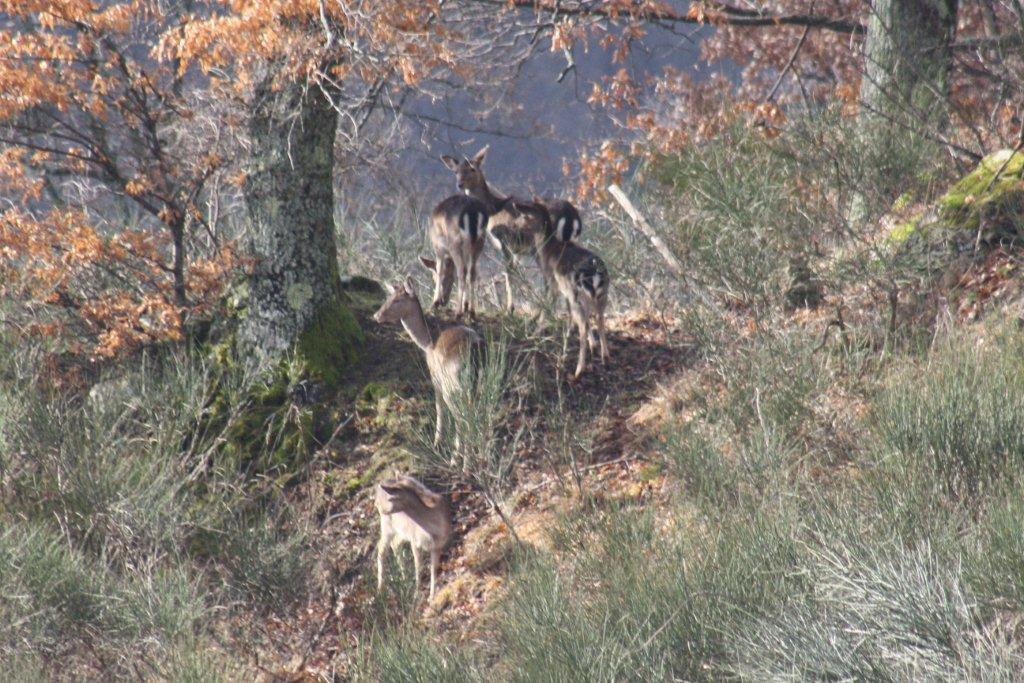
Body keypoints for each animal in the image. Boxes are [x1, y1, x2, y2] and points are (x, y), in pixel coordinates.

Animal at [374, 274, 481, 450]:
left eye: (397, 300)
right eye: (389, 297)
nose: (377, 315)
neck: (428, 342)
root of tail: (474, 349)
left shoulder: (434, 376)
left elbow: (438, 408)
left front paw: (437, 440)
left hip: (453, 385)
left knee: (462, 417)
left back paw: (458, 454)